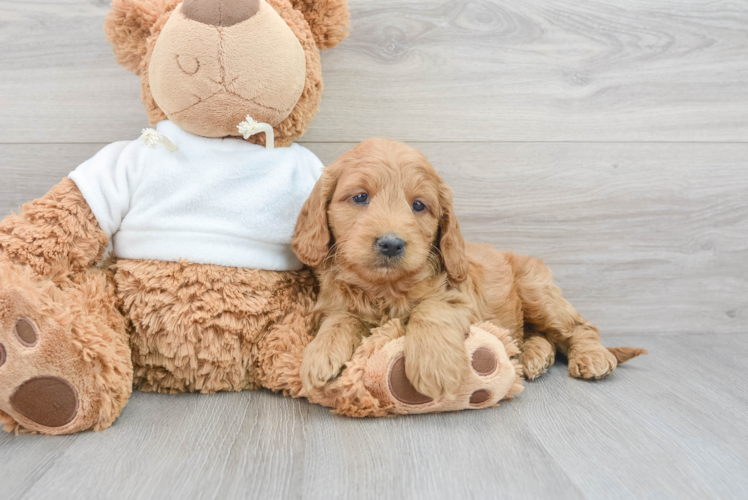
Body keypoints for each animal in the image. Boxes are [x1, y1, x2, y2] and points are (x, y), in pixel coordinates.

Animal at [292, 138, 644, 398]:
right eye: (360, 197)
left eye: (418, 205)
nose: (391, 244)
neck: (386, 287)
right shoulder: (336, 303)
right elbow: (342, 318)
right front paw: (320, 355)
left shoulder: (462, 301)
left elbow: (431, 308)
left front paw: (435, 365)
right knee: (538, 334)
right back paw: (534, 356)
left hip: (537, 291)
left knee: (579, 327)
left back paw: (592, 357)